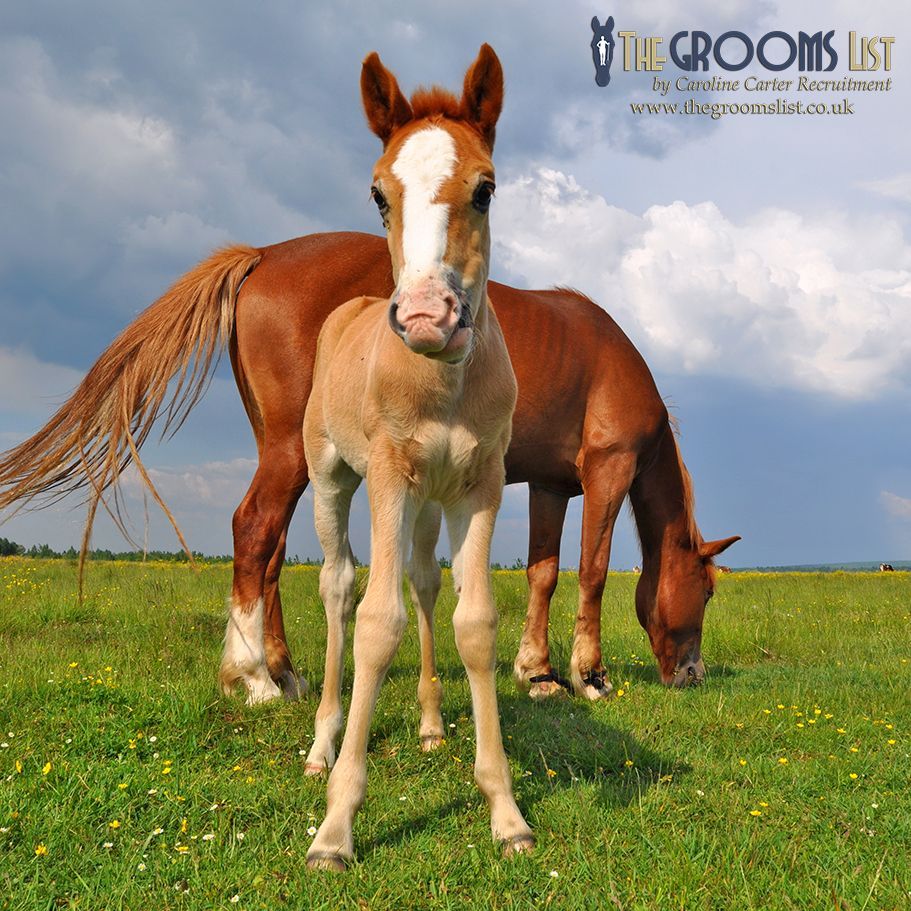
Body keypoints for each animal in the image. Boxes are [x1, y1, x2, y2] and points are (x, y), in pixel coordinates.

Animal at [0, 84, 739, 708]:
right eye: (704, 590)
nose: (692, 674)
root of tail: (261, 255)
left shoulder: (551, 484)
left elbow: (544, 572)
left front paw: (539, 672)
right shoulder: (608, 469)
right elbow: (591, 570)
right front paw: (590, 675)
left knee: (271, 548)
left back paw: (287, 672)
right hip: (291, 452)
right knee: (253, 528)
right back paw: (254, 679)